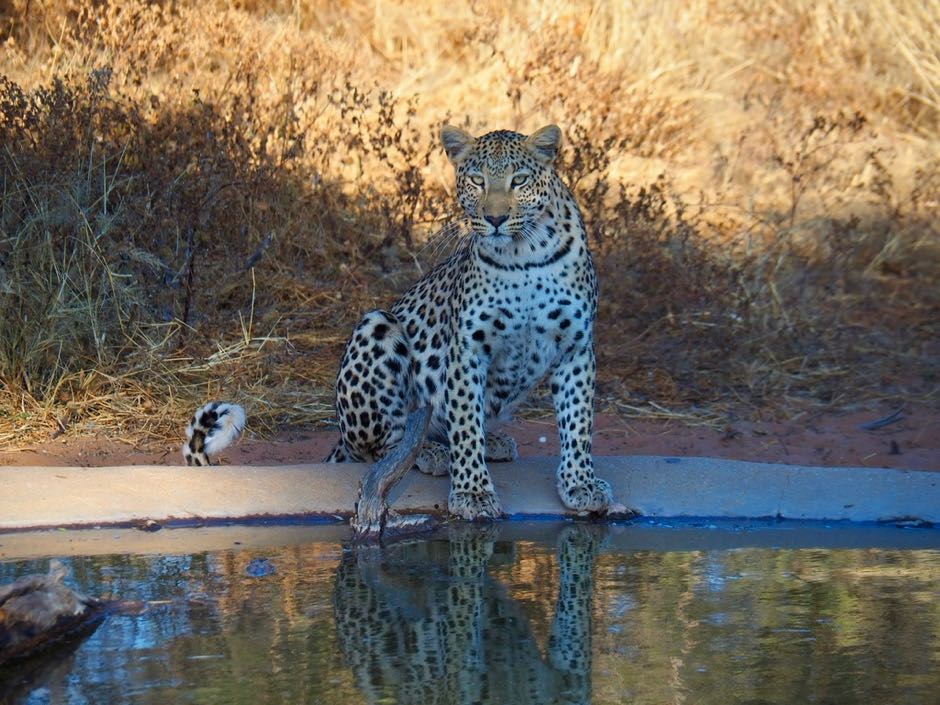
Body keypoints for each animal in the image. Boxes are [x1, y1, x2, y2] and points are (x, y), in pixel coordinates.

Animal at [326, 124, 618, 520]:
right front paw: (472, 492)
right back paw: (432, 453)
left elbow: (578, 421)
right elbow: (465, 422)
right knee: (380, 446)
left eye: (519, 180)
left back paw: (491, 442)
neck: (525, 254)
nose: (494, 219)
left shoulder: (576, 346)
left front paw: (580, 484)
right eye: (477, 181)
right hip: (377, 325)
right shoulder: (467, 347)